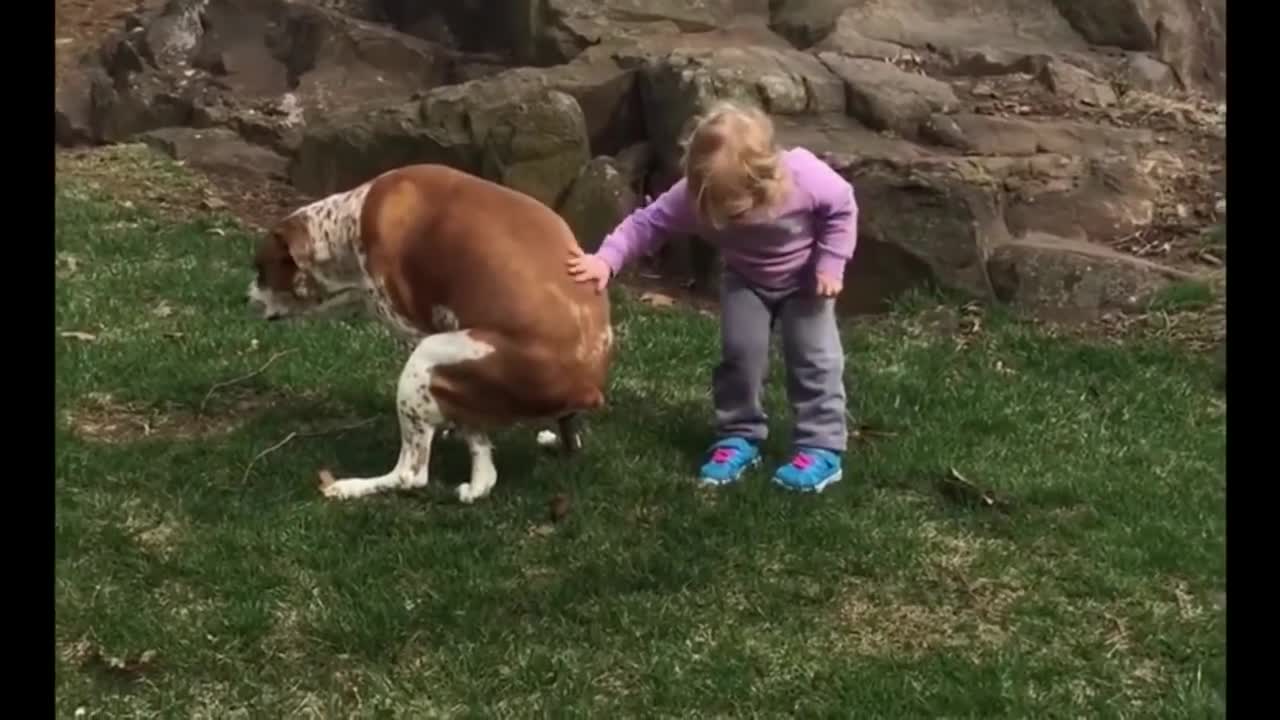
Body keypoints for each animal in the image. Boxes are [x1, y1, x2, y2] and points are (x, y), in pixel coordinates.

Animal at [248, 163, 614, 502]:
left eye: (260, 269)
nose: (245, 297)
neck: (350, 223)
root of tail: (586, 386)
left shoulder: (419, 329)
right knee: (517, 462)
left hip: (424, 360)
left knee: (411, 474)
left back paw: (351, 486)